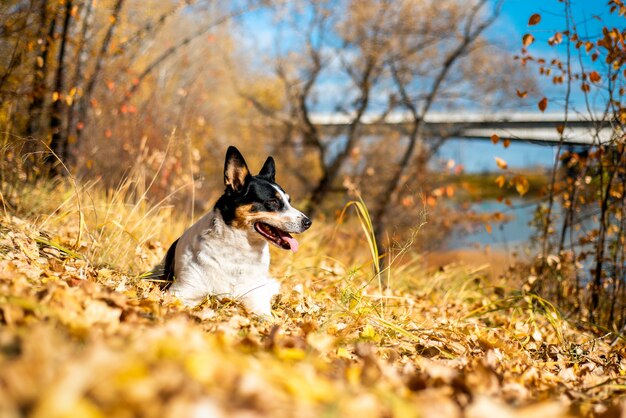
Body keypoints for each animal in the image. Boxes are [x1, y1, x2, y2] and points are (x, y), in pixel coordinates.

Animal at [149, 145, 310, 316]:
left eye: (289, 201)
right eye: (272, 201)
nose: (308, 222)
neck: (239, 253)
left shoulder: (256, 300)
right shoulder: (181, 292)